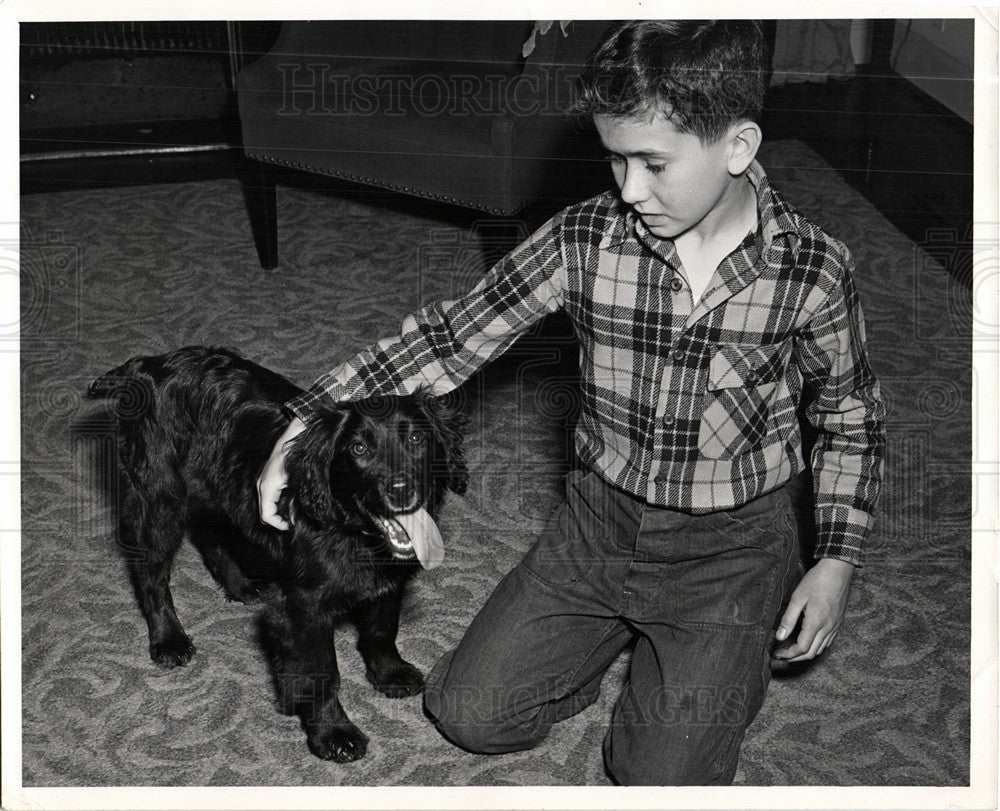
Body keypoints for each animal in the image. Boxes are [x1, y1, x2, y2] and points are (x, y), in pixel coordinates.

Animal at [88, 348, 466, 760]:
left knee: (210, 535)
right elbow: (321, 673)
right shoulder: (301, 609)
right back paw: (168, 639)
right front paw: (333, 734)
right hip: (157, 497)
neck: (351, 533)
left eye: (416, 438)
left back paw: (239, 585)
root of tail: (150, 364)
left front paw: (388, 673)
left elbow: (381, 629)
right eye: (358, 449)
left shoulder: (389, 581)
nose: (401, 490)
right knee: (151, 574)